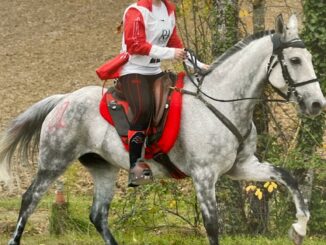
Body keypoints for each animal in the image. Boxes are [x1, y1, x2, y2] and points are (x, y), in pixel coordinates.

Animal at [1, 14, 324, 244]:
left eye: (309, 58)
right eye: (295, 60)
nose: (317, 104)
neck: (223, 100)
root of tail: (63, 99)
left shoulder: (242, 167)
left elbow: (287, 177)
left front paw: (298, 228)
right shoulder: (204, 177)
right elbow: (212, 227)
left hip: (103, 167)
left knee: (98, 216)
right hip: (54, 161)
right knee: (29, 199)